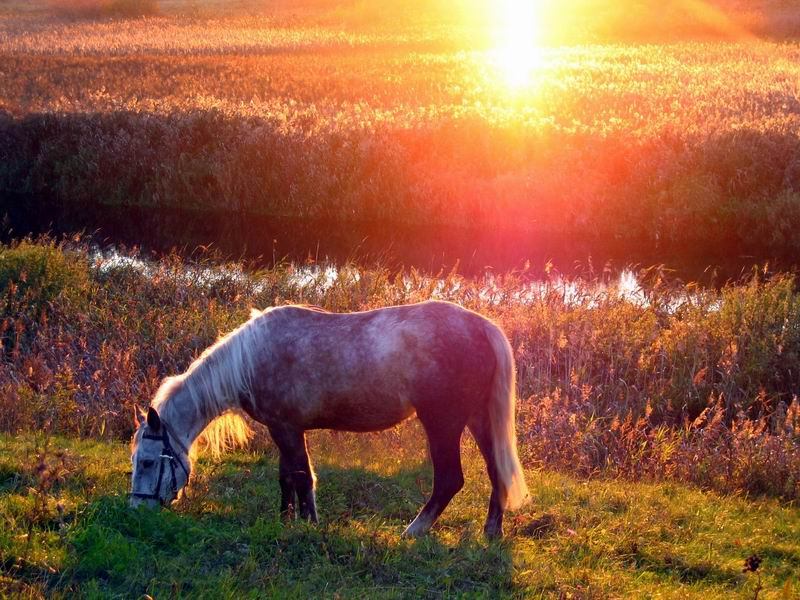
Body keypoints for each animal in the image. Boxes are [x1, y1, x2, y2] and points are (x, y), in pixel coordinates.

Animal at [129, 300, 529, 538]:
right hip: (477, 419)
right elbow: (286, 477)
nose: (138, 510)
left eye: (147, 462)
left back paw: (413, 531)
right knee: (495, 471)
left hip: (442, 424)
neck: (250, 358)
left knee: (449, 480)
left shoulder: (287, 428)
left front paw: (309, 524)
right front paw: (285, 520)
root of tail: (481, 326)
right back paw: (491, 531)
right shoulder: (282, 429)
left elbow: (302, 476)